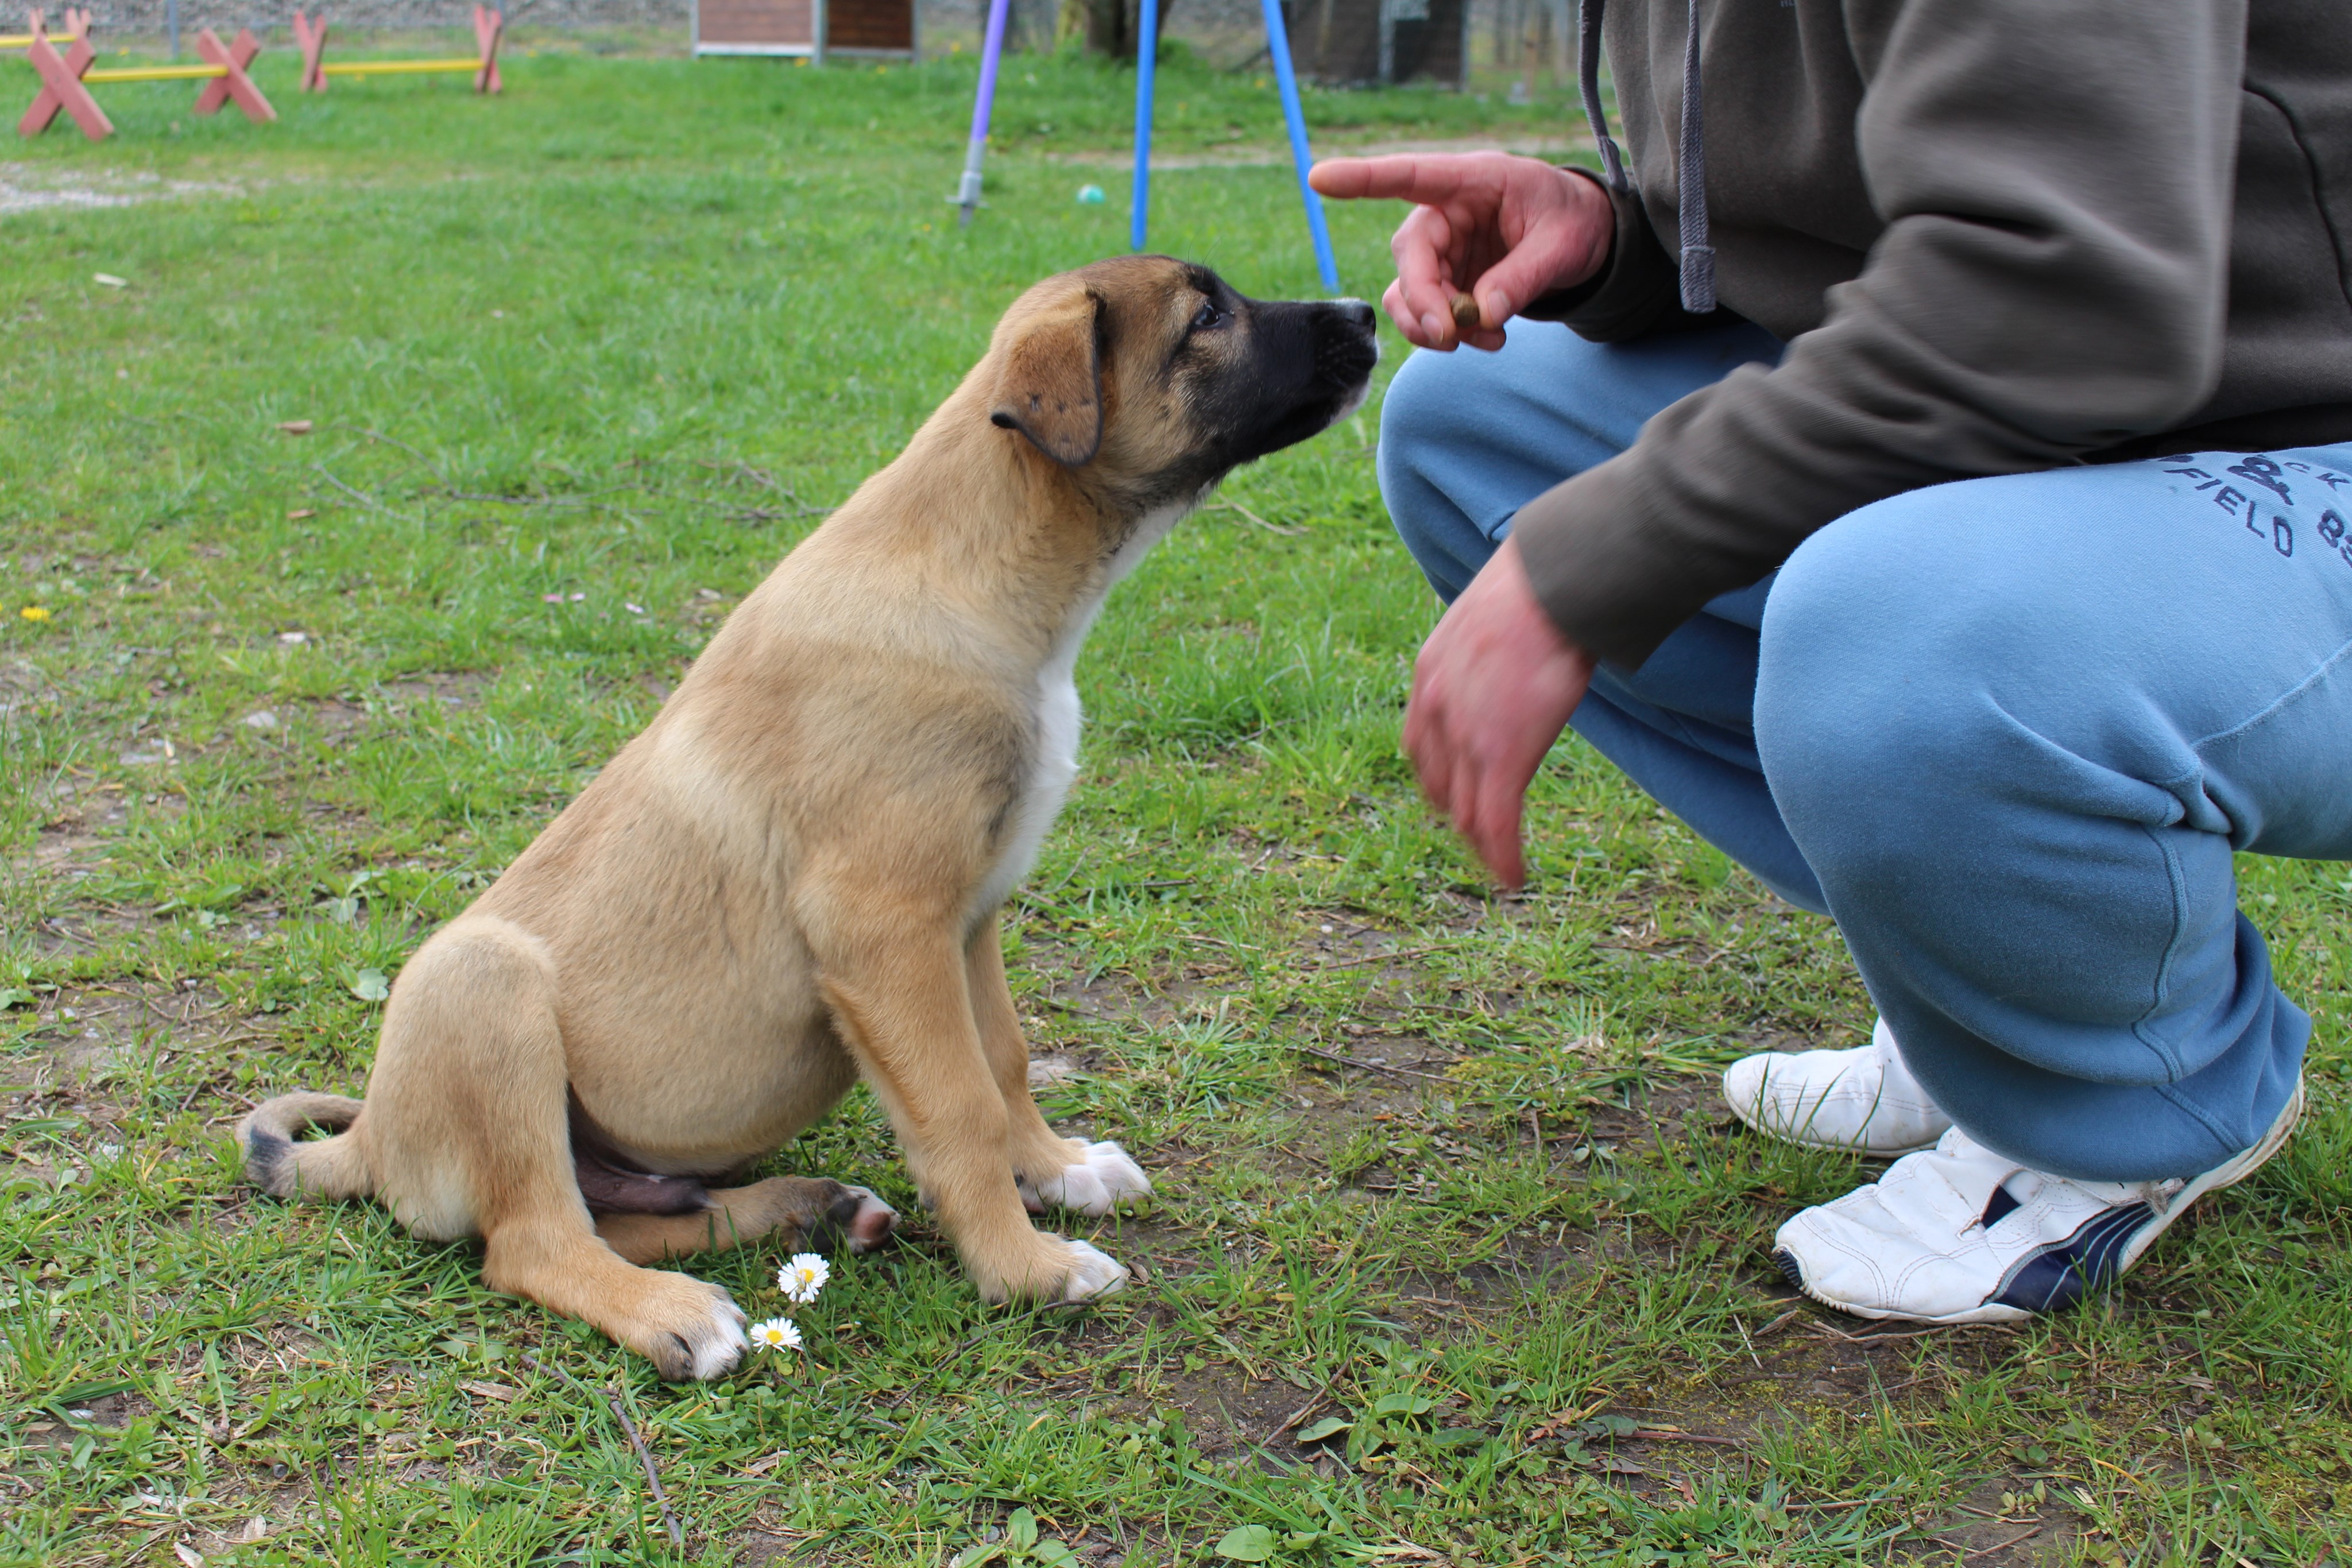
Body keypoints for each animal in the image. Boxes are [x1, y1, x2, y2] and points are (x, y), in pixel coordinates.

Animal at [238, 251, 1374, 1382]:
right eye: (1207, 317)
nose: (1367, 312)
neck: (979, 568)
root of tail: (373, 1139)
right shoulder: (886, 929)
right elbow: (961, 1105)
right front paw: (1027, 1268)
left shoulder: (968, 917)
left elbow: (1002, 1061)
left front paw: (1057, 1169)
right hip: (482, 982)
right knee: (534, 1241)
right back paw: (675, 1312)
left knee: (634, 1212)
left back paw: (807, 1210)